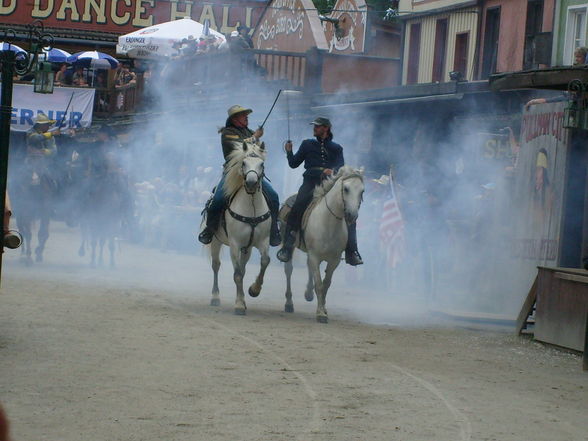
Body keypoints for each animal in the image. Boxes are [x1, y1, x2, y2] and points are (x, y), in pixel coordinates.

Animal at [207, 141, 272, 312]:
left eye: (262, 164)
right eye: (243, 163)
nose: (251, 183)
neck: (251, 207)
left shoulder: (262, 241)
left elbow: (264, 262)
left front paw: (254, 290)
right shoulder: (235, 244)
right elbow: (237, 274)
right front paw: (239, 305)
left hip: (247, 249)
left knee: (242, 270)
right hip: (215, 242)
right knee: (216, 265)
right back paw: (215, 297)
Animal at [284, 167, 362, 322]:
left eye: (362, 191)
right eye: (346, 189)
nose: (352, 215)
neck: (329, 223)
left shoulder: (334, 260)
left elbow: (325, 284)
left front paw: (323, 309)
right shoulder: (315, 256)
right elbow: (319, 284)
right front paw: (320, 313)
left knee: (308, 268)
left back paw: (308, 294)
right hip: (290, 248)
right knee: (289, 270)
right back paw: (289, 303)